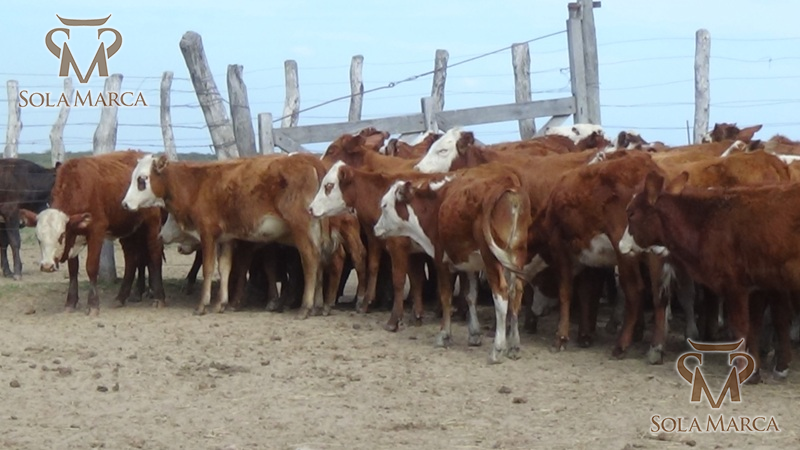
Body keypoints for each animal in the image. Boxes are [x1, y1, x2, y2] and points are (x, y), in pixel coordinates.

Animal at [21, 151, 165, 316]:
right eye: (38, 238)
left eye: (61, 236)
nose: (46, 266)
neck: (78, 186)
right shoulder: (73, 235)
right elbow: (73, 270)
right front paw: (70, 302)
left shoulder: (96, 231)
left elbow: (91, 267)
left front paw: (93, 304)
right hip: (128, 229)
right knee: (131, 259)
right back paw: (121, 297)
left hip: (152, 223)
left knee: (154, 254)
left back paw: (159, 297)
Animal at [122, 152, 336, 318]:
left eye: (141, 179)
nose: (124, 204)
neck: (196, 184)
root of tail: (309, 159)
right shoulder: (225, 239)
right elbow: (224, 268)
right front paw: (221, 304)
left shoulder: (207, 234)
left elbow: (208, 269)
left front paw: (202, 305)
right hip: (315, 230)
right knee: (320, 260)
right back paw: (317, 306)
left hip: (301, 228)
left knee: (310, 259)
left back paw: (306, 307)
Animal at [373, 163, 531, 363]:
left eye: (385, 206)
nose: (376, 228)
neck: (435, 205)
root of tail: (507, 184)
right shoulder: (470, 263)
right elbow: (470, 295)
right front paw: (474, 334)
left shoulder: (441, 259)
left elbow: (446, 296)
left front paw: (444, 335)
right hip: (516, 255)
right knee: (516, 293)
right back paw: (514, 345)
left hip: (492, 259)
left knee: (501, 294)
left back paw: (498, 349)